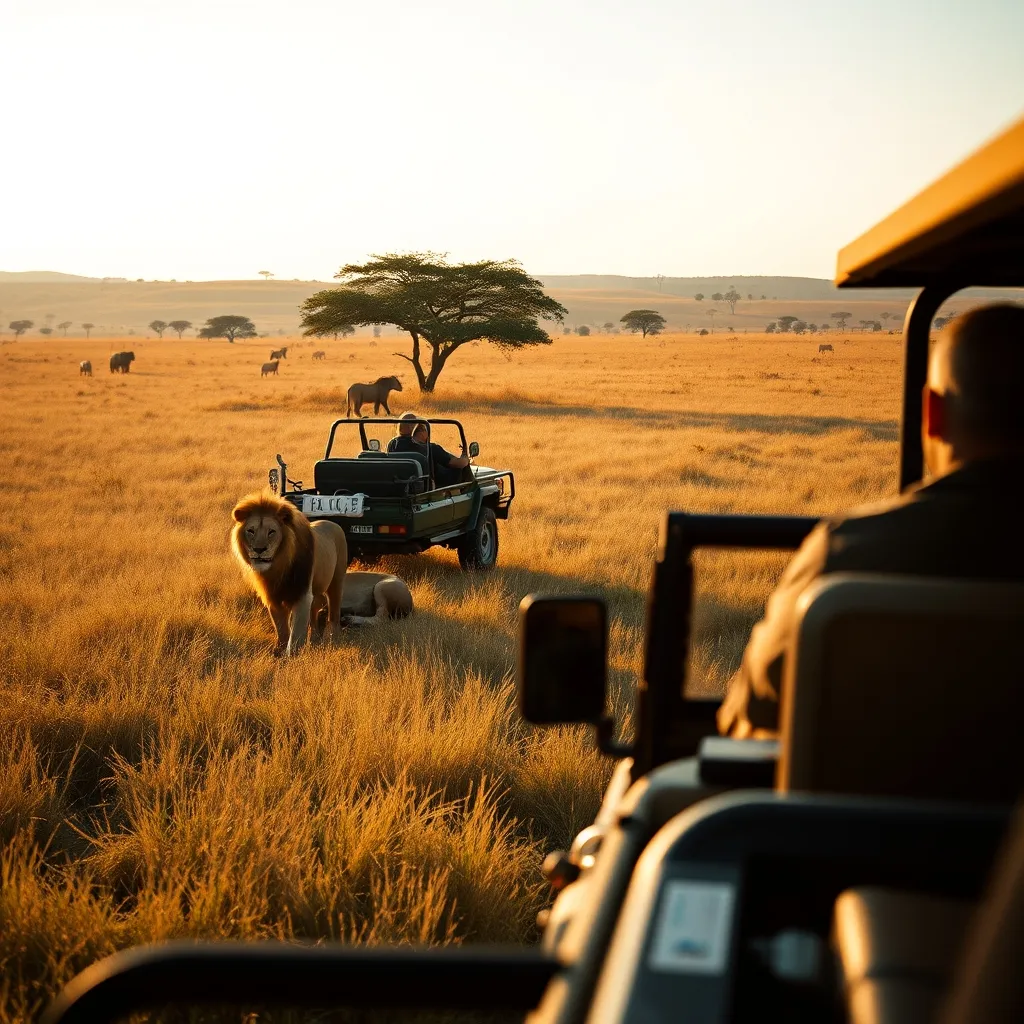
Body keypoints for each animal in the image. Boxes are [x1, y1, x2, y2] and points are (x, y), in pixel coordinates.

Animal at [231, 492, 348, 656]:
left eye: (271, 532)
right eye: (251, 531)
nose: (259, 550)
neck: (279, 567)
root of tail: (332, 522)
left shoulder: (301, 593)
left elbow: (297, 631)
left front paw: (292, 654)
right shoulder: (273, 597)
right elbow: (281, 628)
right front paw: (279, 651)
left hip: (336, 581)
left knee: (334, 613)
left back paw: (333, 638)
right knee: (314, 612)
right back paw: (314, 640)